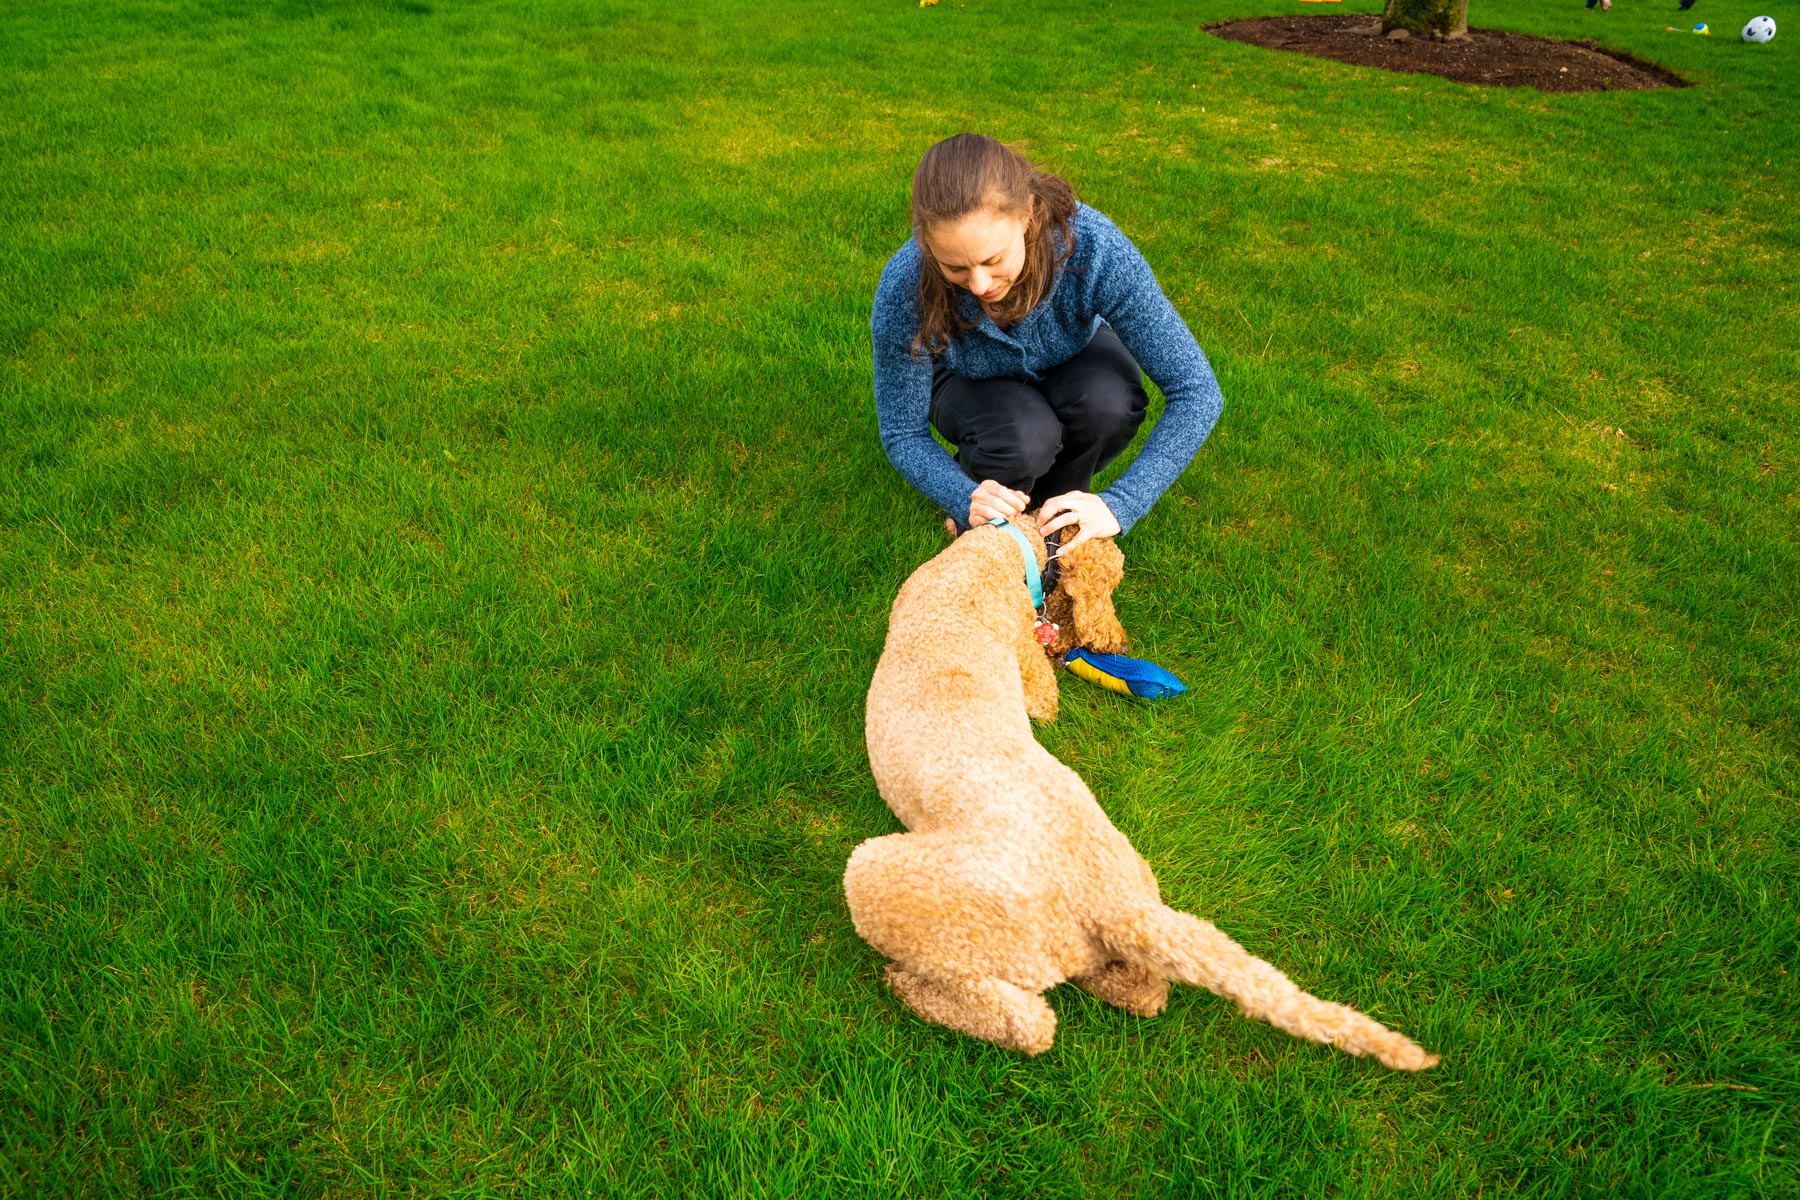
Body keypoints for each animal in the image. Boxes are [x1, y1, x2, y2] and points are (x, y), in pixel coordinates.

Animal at [842, 525, 1432, 1072]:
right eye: (1106, 585)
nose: (1117, 646)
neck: (1010, 549)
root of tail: (1115, 904)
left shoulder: (1032, 679)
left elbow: (1042, 691)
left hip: (892, 883)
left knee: (1029, 1022)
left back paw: (910, 986)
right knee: (1146, 993)